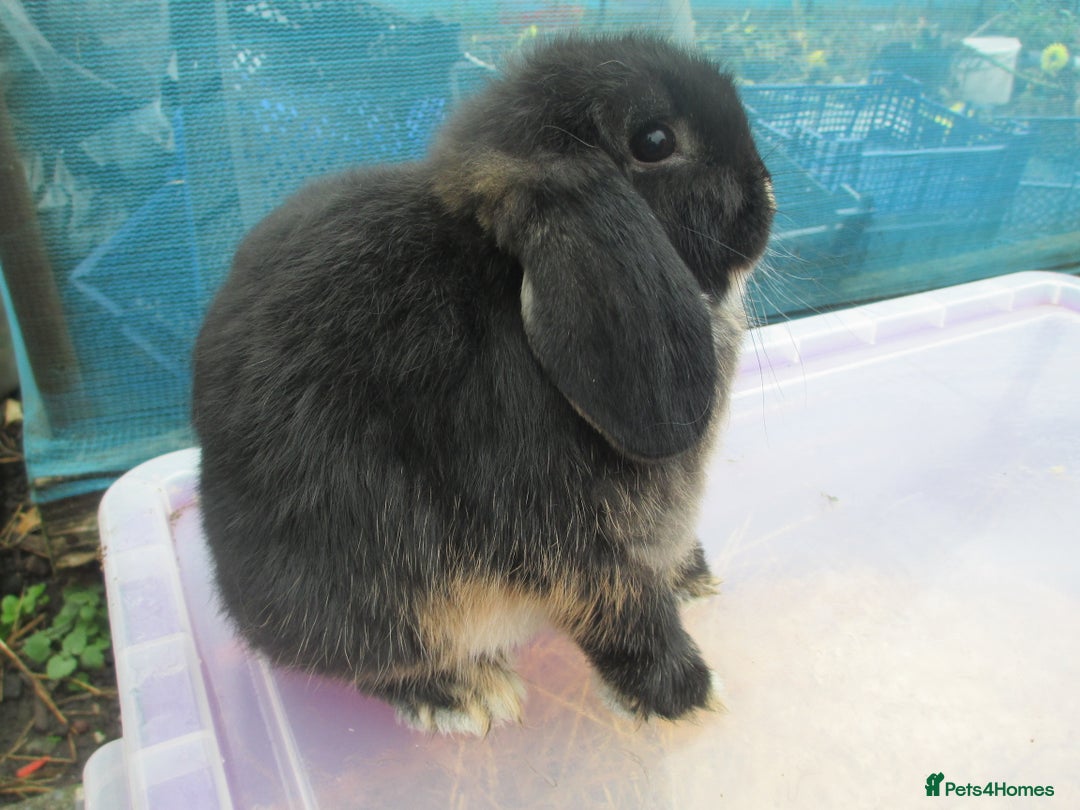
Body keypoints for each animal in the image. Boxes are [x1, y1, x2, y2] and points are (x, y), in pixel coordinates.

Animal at [192, 33, 774, 736]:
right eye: (654, 141)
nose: (767, 193)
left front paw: (694, 580)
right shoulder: (562, 534)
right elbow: (623, 609)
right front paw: (690, 698)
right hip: (379, 603)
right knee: (376, 662)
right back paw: (465, 694)